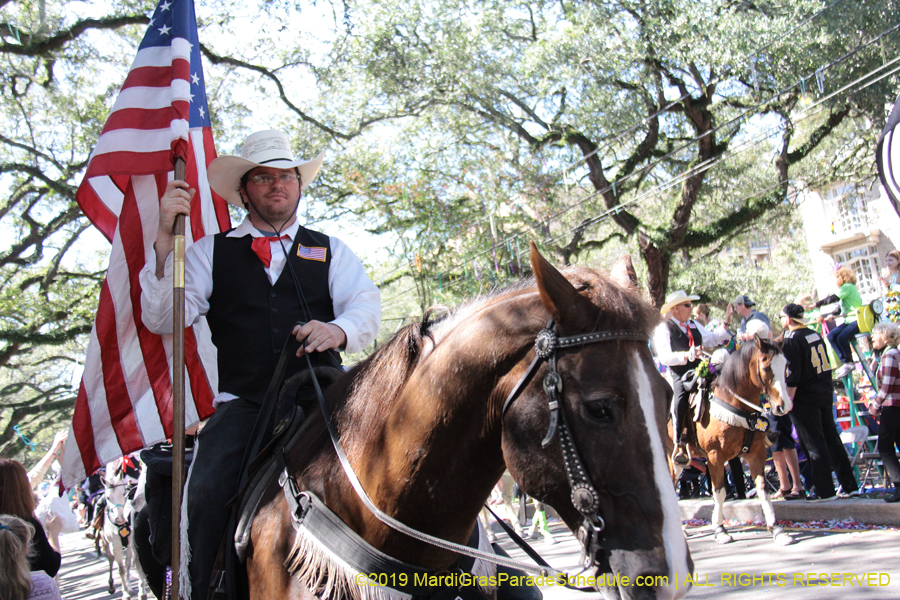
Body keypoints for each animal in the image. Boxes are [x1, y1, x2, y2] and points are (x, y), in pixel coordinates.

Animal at [680, 340, 792, 548]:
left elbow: (763, 490)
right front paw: (720, 530)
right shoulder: (715, 457)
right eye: (766, 367)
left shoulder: (756, 453)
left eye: (786, 365)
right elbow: (719, 492)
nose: (785, 406)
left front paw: (777, 530)